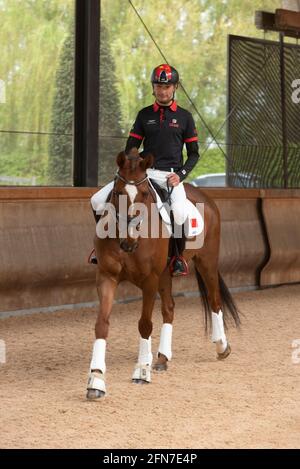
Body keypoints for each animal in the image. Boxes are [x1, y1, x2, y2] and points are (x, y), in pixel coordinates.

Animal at [85, 148, 240, 396]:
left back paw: (222, 346)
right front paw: (96, 379)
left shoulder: (149, 279)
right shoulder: (107, 277)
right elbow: (102, 324)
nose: (128, 242)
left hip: (206, 261)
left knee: (215, 301)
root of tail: (204, 197)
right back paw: (161, 357)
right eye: (118, 192)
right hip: (166, 273)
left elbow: (145, 324)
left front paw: (140, 371)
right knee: (169, 308)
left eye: (144, 193)